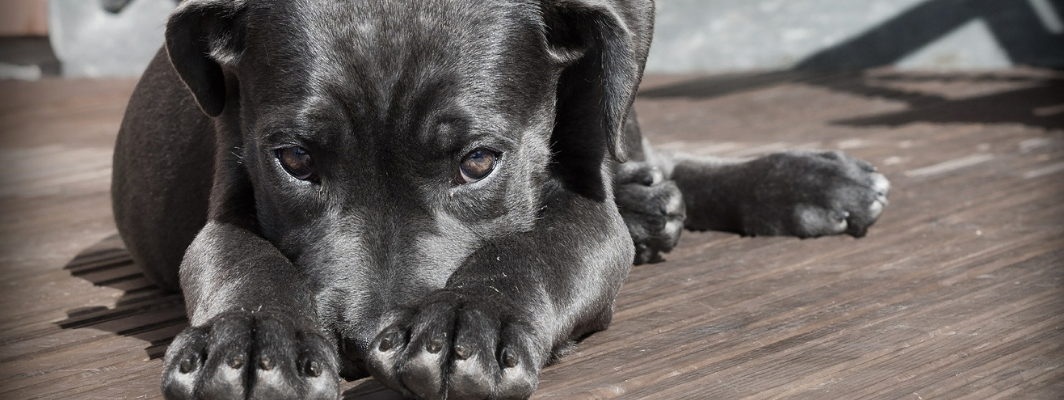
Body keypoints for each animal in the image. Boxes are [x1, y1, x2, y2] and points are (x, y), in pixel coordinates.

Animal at [110, 1, 889, 397]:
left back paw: (804, 181)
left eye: (479, 161)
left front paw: (467, 319)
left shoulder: (587, 206)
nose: (359, 344)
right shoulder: (229, 191)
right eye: (295, 160)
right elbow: (240, 257)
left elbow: (538, 248)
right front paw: (253, 337)